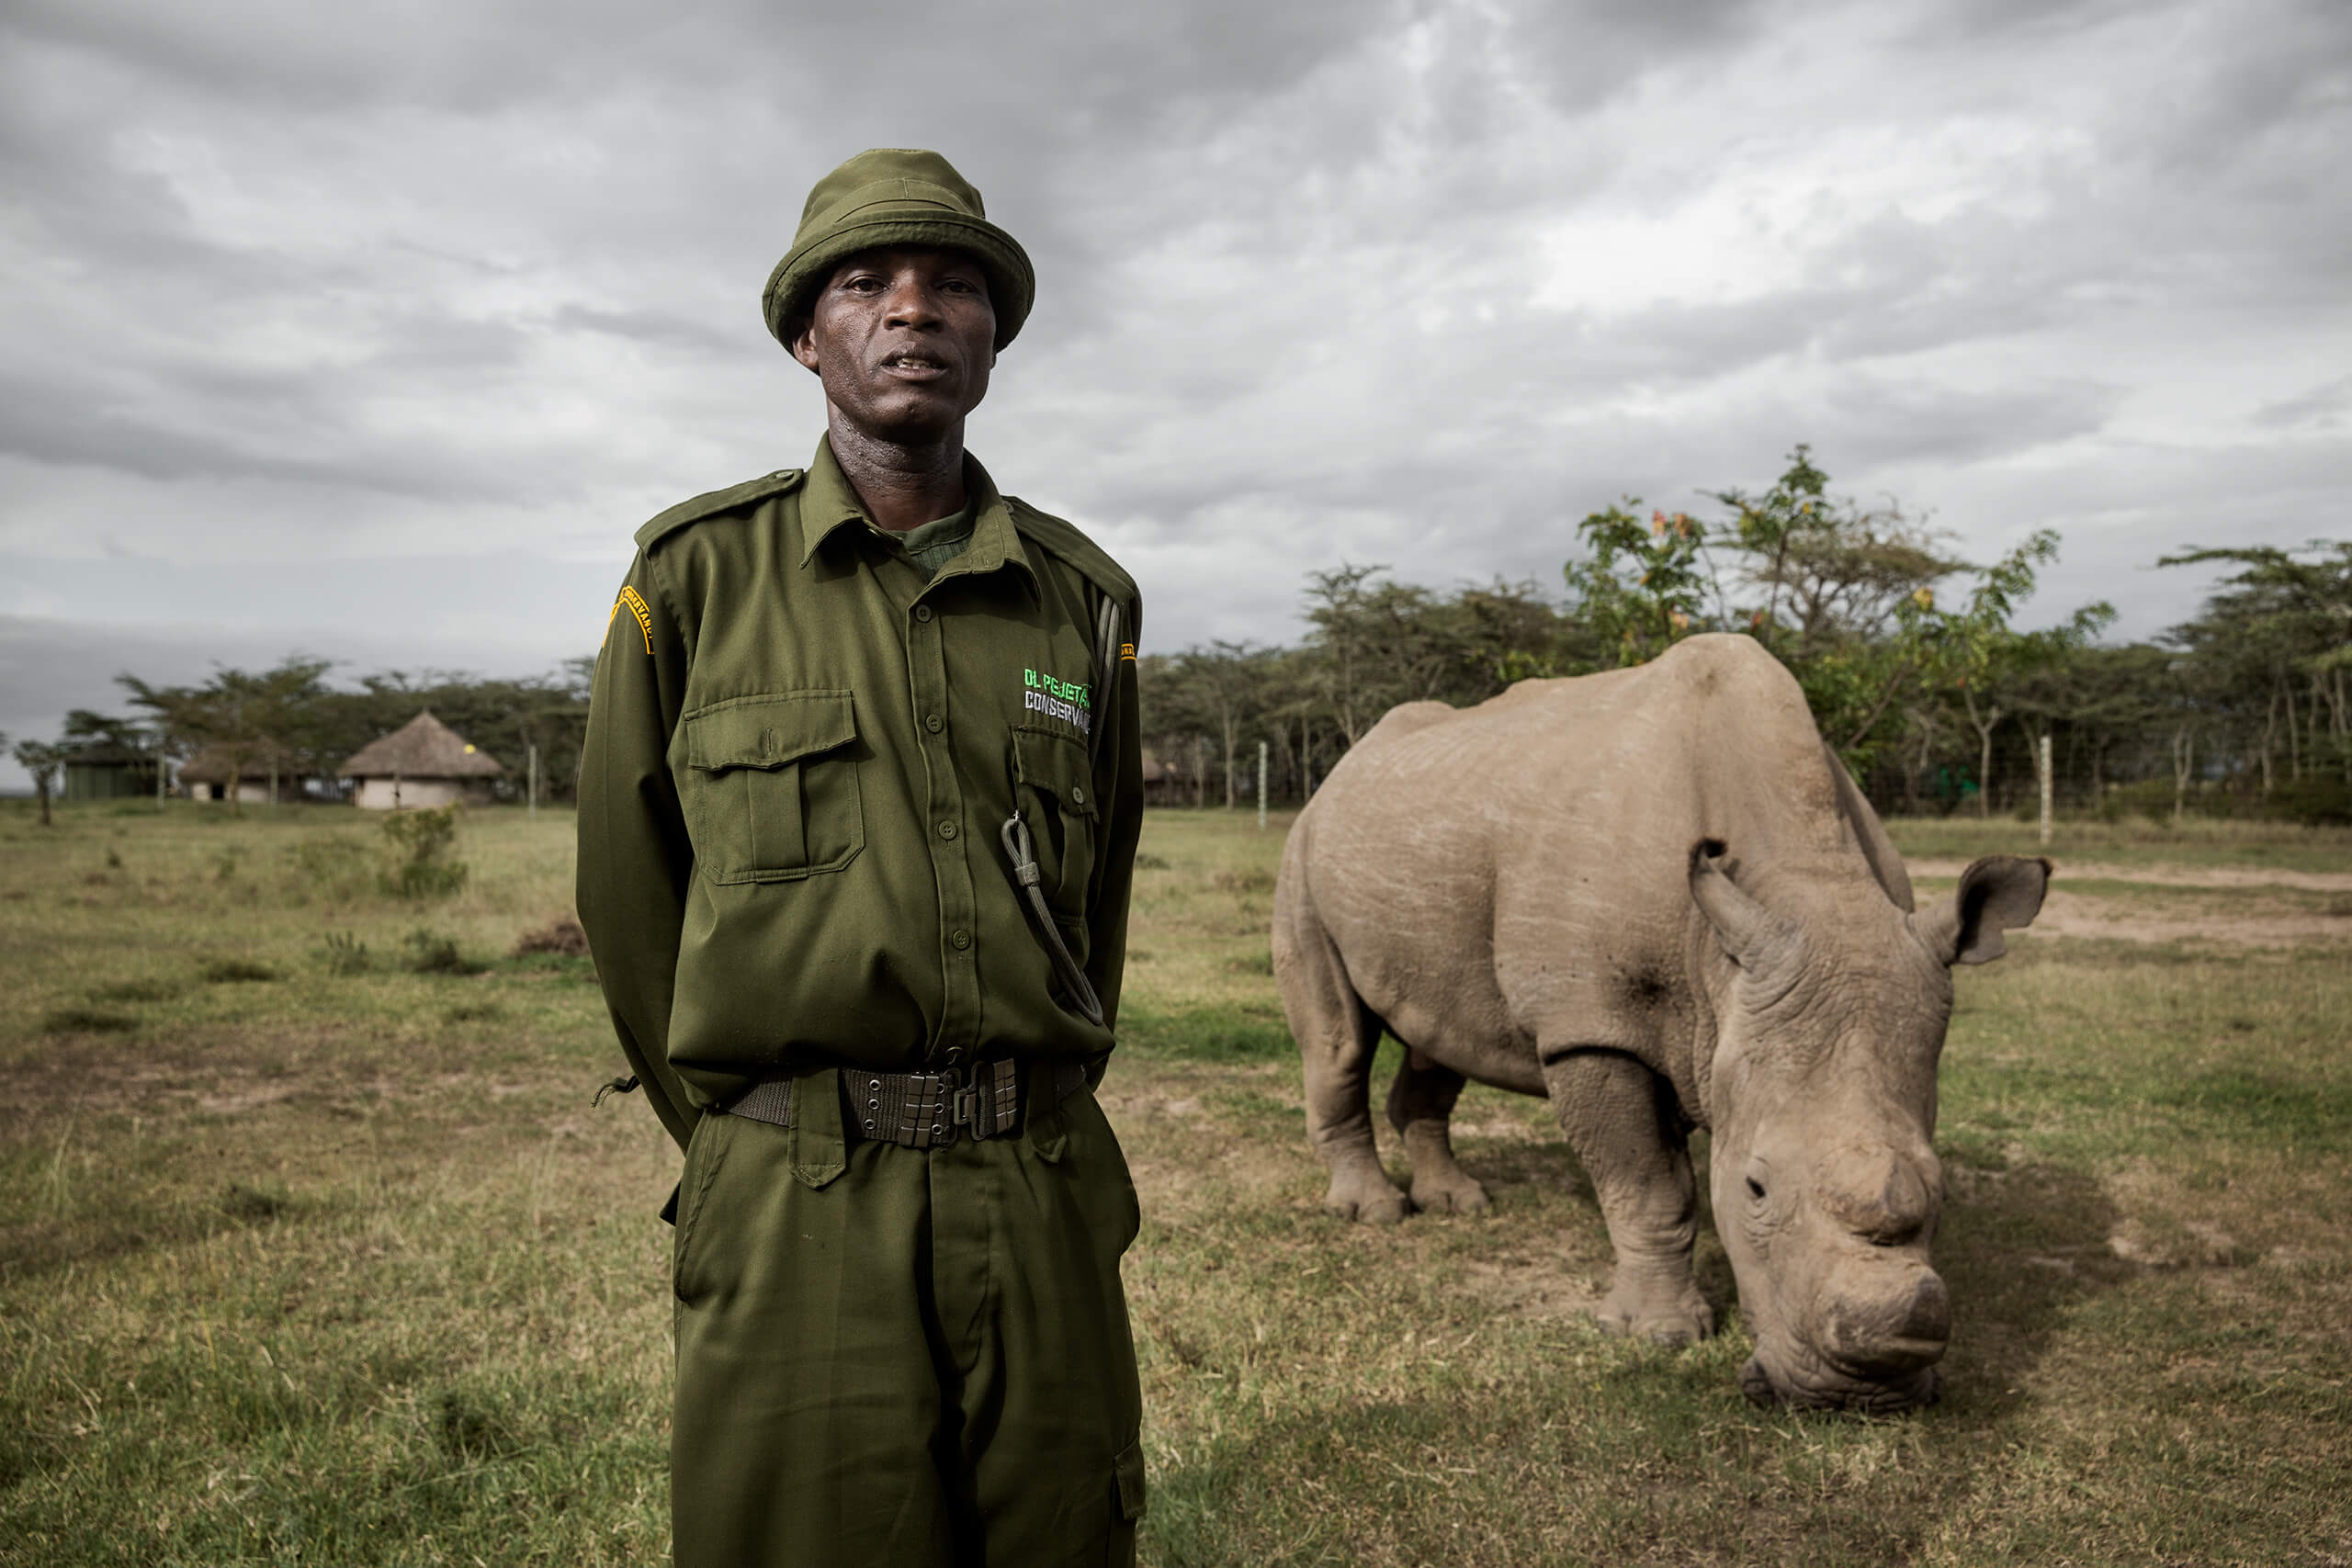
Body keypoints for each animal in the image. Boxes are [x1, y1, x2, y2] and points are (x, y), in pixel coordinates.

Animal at [1270, 629, 2041, 1419]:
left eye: (1940, 1189)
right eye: (1754, 1188)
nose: (1858, 1395)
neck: (1804, 883)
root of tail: (1345, 766)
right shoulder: (1592, 1023)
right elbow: (1649, 1184)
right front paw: (1658, 1334)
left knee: (1441, 1035)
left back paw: (1460, 1203)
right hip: (1303, 847)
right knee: (1338, 1042)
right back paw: (1374, 1214)